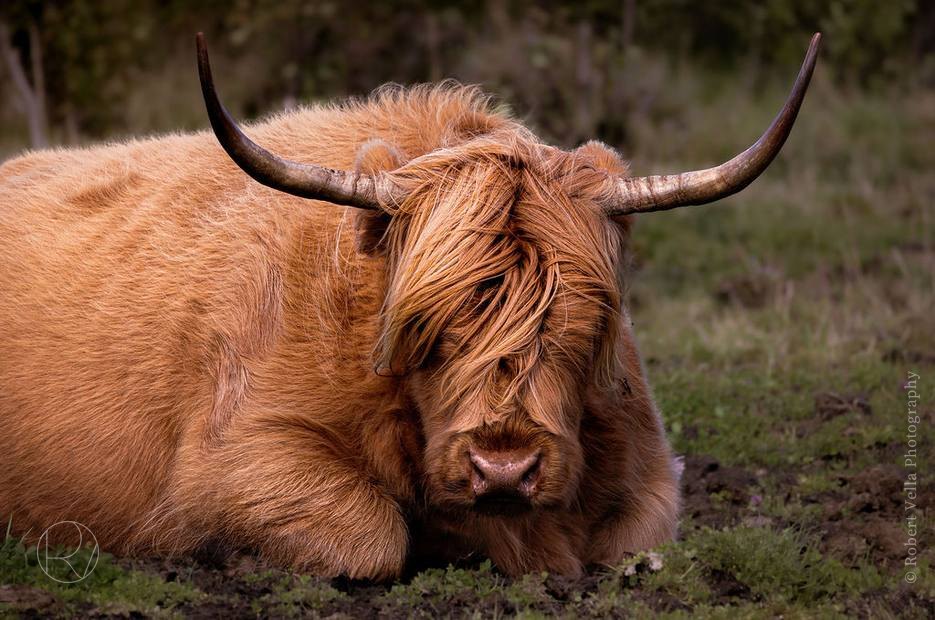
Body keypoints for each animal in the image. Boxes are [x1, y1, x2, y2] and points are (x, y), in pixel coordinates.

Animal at [0, 33, 820, 579]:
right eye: (426, 327)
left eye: (583, 320)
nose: (503, 468)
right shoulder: (229, 461)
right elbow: (368, 537)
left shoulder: (649, 469)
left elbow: (636, 543)